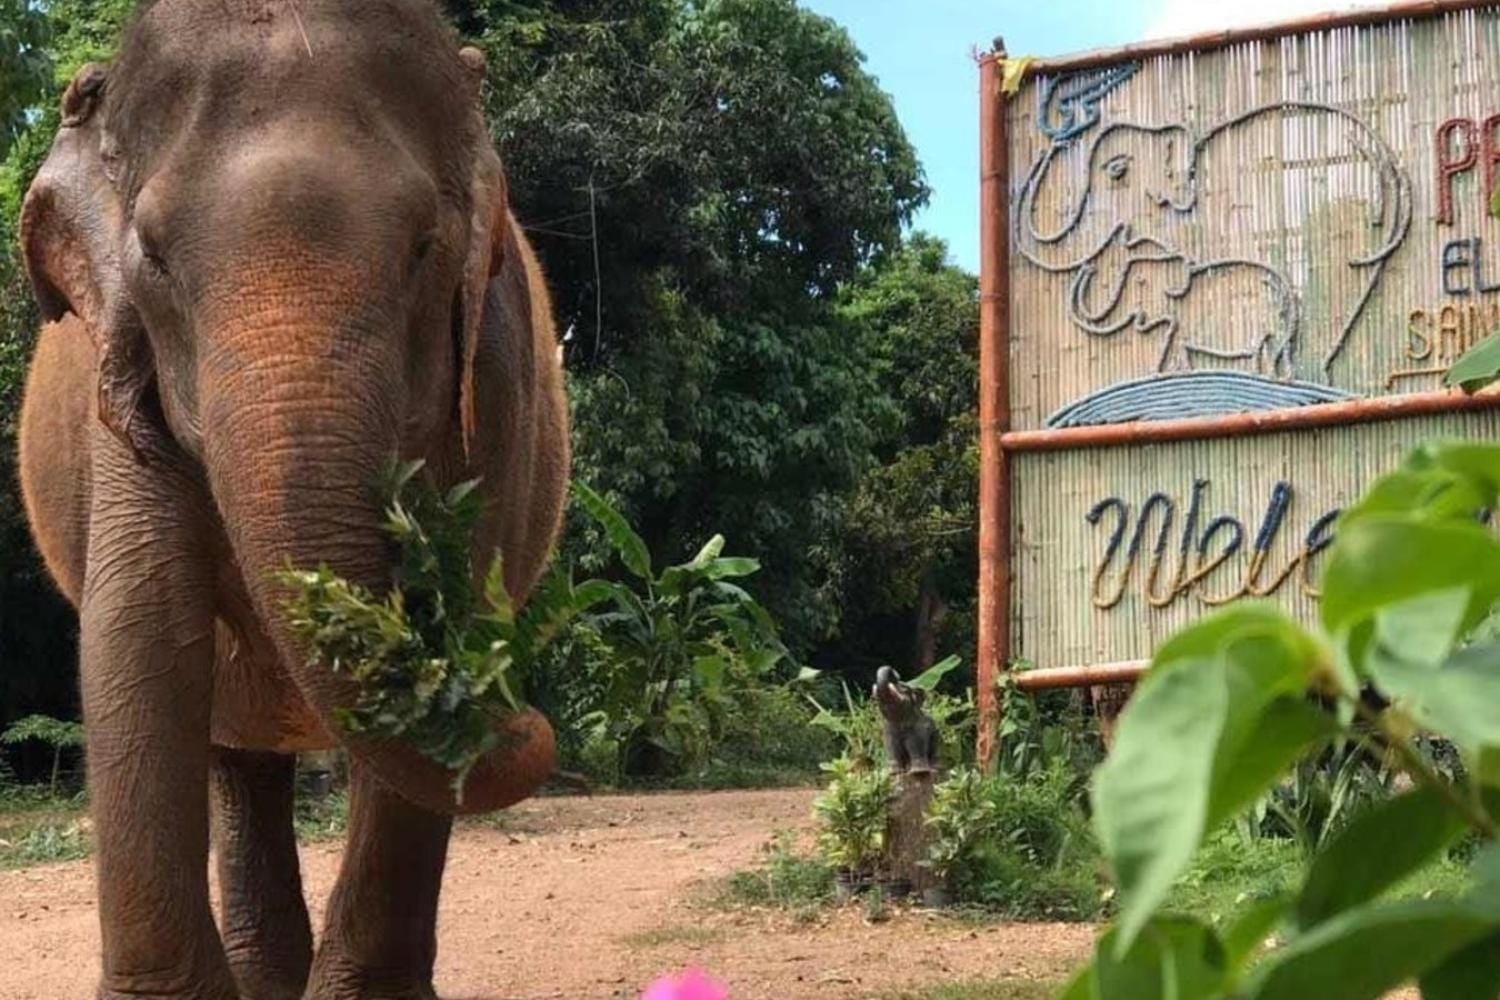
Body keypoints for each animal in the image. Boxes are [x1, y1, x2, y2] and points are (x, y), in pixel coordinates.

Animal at [13, 2, 569, 997]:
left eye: (423, 247)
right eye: (152, 257)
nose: (524, 715)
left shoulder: (498, 379)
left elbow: (455, 597)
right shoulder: (123, 395)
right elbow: (140, 628)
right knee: (235, 755)